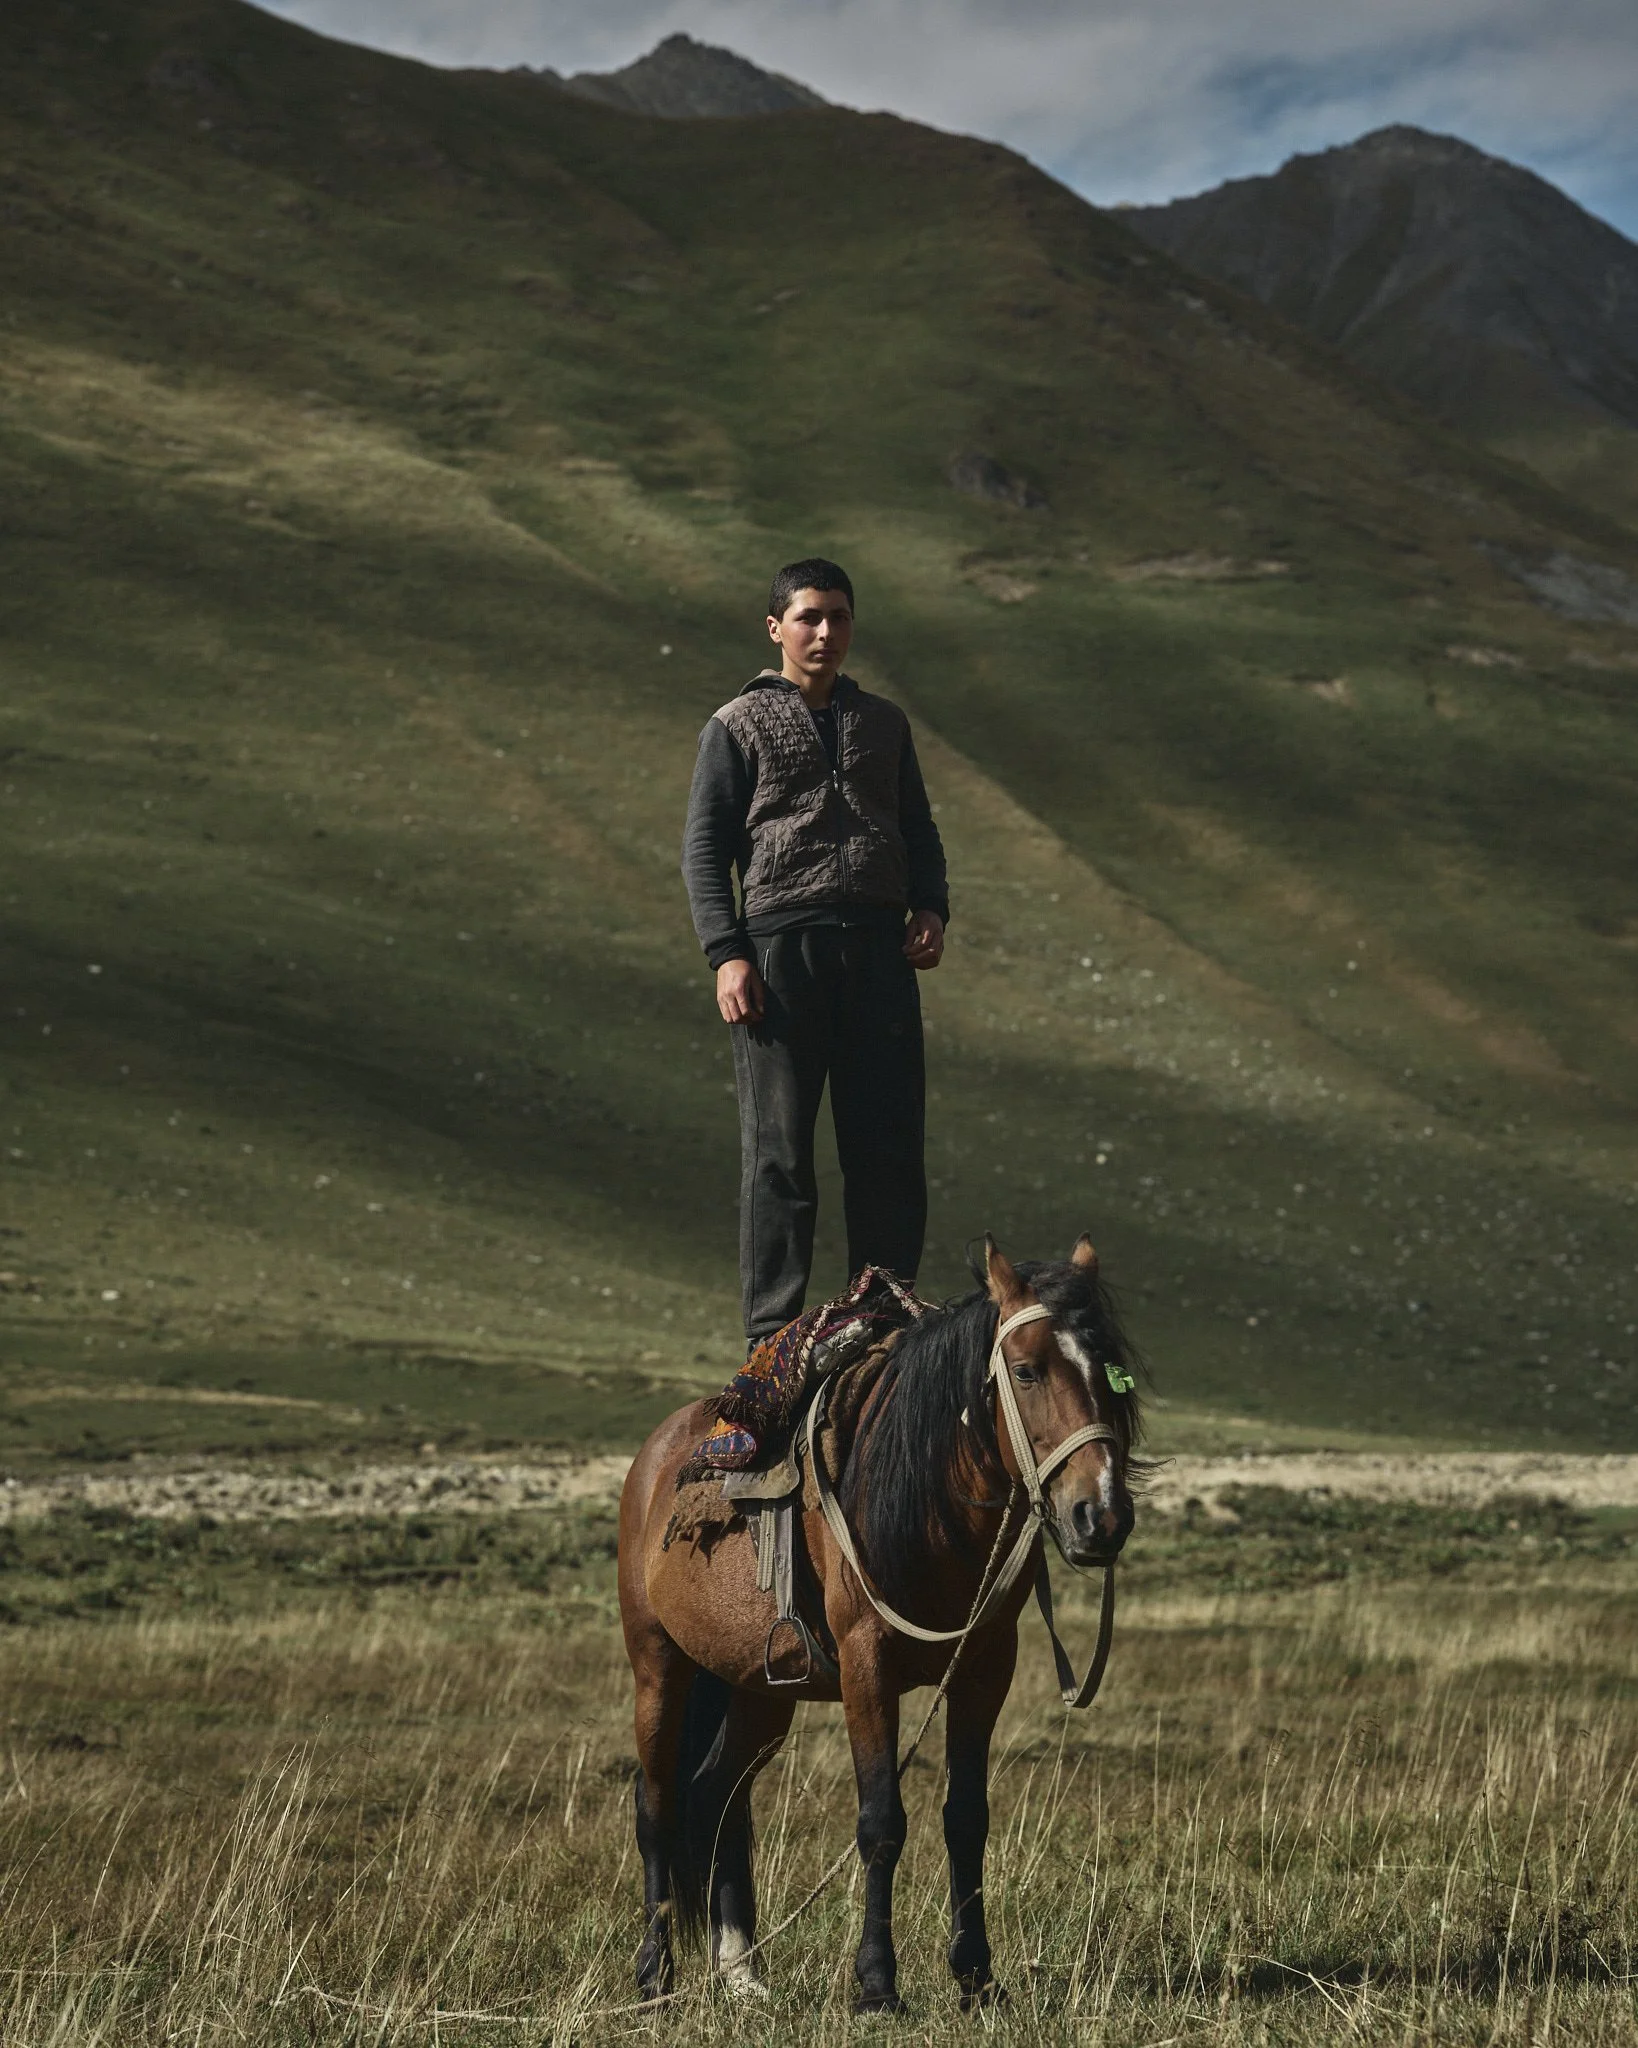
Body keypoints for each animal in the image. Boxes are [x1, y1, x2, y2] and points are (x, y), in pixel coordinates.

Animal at [617, 1232, 1141, 2014]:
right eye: (1025, 1370)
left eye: (1112, 1374)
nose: (1100, 1516)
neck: (929, 1504)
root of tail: (654, 1457)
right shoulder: (868, 1665)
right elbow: (881, 1821)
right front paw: (875, 1984)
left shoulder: (986, 1665)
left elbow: (966, 1817)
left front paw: (977, 1976)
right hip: (658, 1664)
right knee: (655, 1805)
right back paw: (655, 1975)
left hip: (760, 1689)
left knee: (714, 1795)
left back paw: (740, 1971)